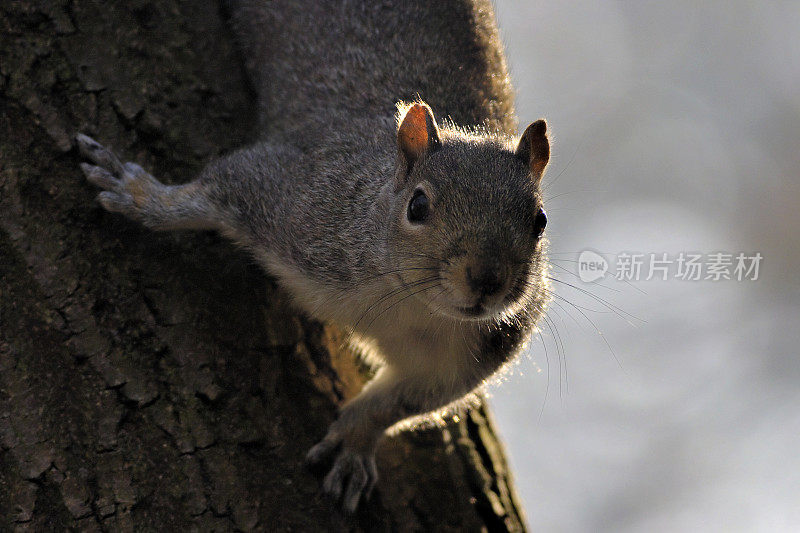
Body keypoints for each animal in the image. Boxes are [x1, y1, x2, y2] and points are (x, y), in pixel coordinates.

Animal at [75, 0, 552, 512]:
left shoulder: (463, 357)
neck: (408, 302)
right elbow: (217, 186)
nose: (486, 279)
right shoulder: (297, 203)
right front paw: (141, 196)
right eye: (418, 206)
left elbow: (400, 404)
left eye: (540, 220)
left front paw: (355, 442)